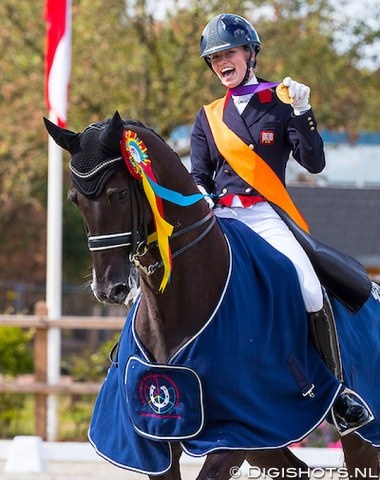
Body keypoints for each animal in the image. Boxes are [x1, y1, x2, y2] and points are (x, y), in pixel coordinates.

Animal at [45, 113, 380, 480]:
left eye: (117, 194)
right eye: (74, 199)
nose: (109, 288)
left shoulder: (235, 431)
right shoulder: (153, 438)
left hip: (352, 433)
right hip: (268, 441)